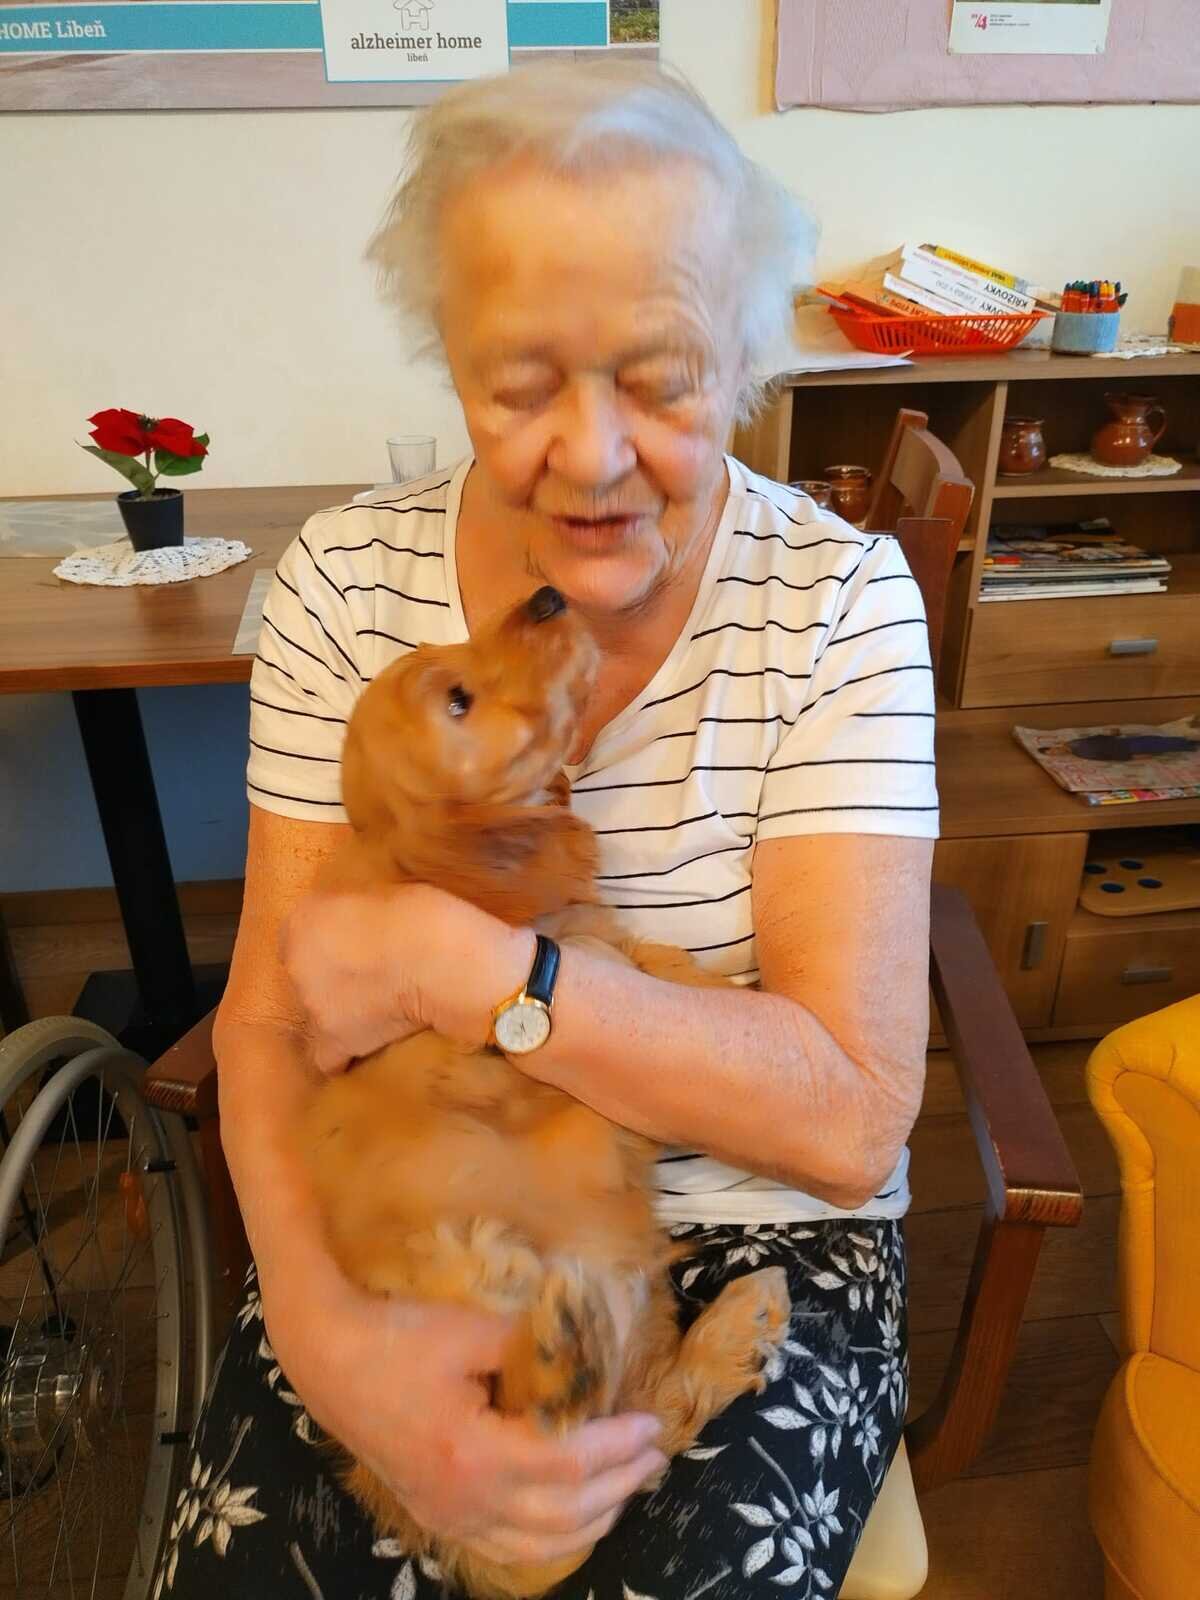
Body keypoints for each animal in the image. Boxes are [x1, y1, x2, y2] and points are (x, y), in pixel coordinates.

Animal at [298, 585, 791, 1599]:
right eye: (457, 701)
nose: (548, 596)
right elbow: (610, 961)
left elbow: (644, 956)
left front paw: (715, 987)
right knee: (563, 1414)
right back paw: (557, 1343)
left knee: (656, 1408)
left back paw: (729, 1323)